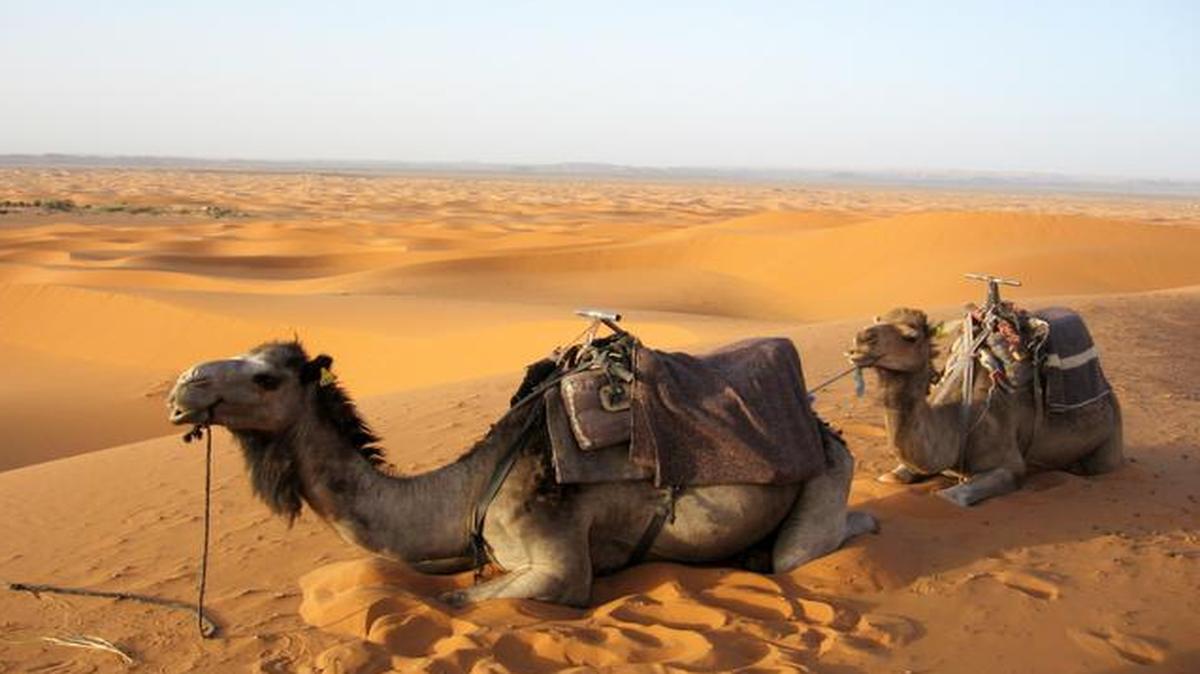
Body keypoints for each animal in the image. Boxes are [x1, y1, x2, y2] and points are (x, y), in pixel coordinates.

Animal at [167, 341, 877, 606]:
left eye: (266, 377)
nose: (183, 386)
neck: (468, 487)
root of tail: (820, 421)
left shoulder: (559, 564)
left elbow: (459, 600)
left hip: (826, 475)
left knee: (810, 547)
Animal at [847, 308, 1123, 507]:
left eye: (910, 336)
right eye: (878, 319)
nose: (860, 339)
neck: (957, 420)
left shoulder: (1008, 464)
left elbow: (951, 496)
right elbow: (891, 477)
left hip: (1111, 436)